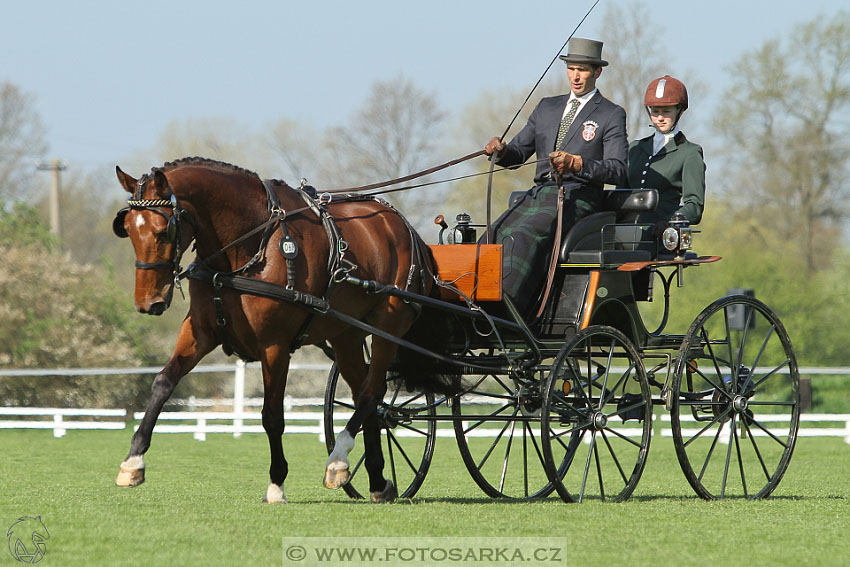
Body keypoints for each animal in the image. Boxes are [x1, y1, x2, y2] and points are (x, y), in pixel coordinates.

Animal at [113, 158, 438, 504]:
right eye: (128, 229)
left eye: (164, 231)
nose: (148, 302)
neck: (247, 247)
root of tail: (405, 229)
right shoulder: (199, 332)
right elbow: (163, 383)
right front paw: (133, 462)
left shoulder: (275, 346)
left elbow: (272, 415)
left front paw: (276, 483)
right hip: (346, 336)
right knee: (369, 397)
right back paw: (376, 480)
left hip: (388, 327)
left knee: (369, 393)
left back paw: (338, 459)